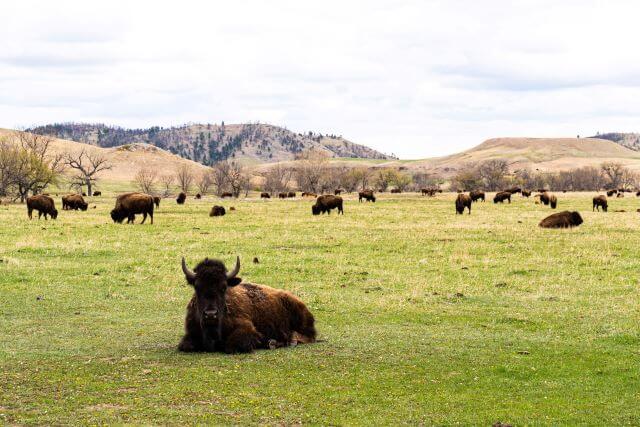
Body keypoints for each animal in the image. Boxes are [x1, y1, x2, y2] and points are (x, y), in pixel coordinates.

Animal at [178, 256, 316, 353]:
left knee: (308, 336)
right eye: (197, 287)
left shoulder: (247, 328)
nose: (211, 314)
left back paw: (287, 341)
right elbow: (186, 345)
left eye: (223, 287)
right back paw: (272, 343)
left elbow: (232, 346)